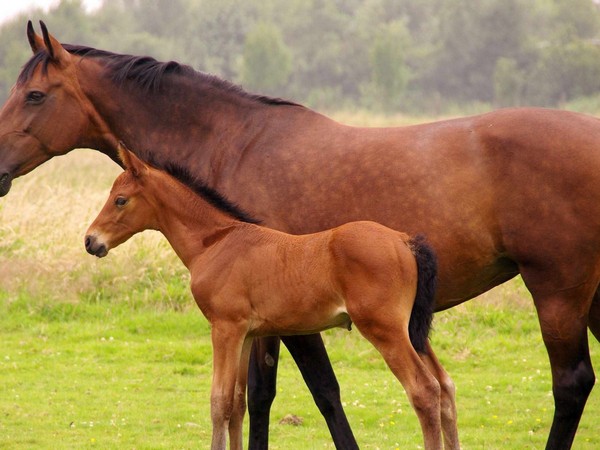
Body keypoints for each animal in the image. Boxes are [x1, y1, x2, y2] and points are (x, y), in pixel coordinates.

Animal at [85, 146, 460, 448]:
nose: (91, 240)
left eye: (120, 200)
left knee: (424, 390)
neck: (216, 241)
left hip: (385, 330)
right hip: (412, 331)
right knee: (445, 387)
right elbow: (237, 403)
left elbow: (219, 401)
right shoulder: (247, 335)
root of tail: (405, 241)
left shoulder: (224, 328)